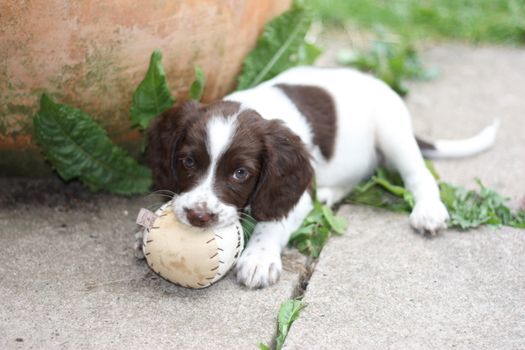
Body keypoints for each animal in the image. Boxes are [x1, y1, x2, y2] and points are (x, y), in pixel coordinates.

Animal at [145, 65, 498, 288]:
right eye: (188, 161)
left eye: (240, 173)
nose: (198, 216)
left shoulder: (292, 189)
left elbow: (274, 221)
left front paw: (259, 257)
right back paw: (328, 194)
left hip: (393, 131)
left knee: (419, 174)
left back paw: (428, 211)